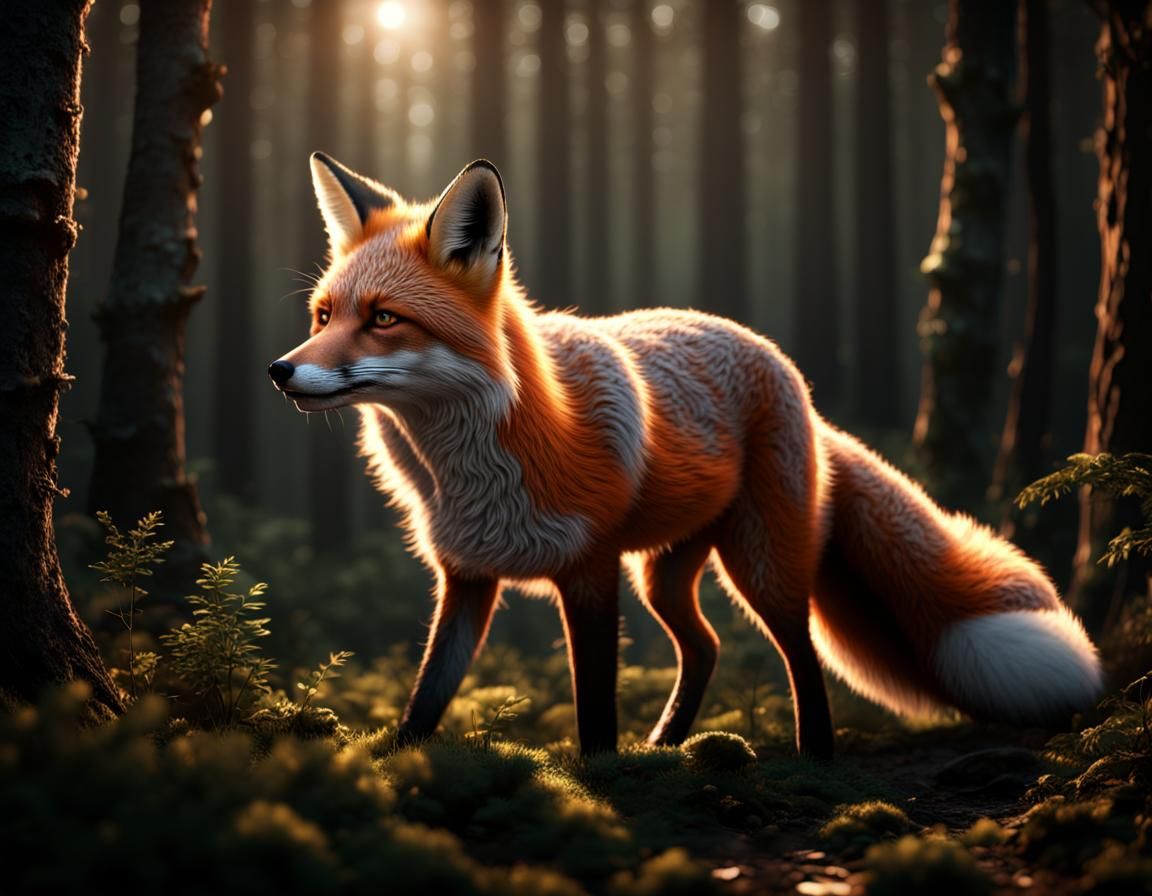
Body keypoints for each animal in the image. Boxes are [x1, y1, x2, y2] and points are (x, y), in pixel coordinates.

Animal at [268, 153, 1103, 759]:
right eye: (323, 316)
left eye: (384, 319)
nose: (279, 371)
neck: (472, 470)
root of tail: (781, 364)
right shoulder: (467, 576)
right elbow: (428, 694)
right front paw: (390, 764)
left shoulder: (589, 570)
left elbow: (594, 701)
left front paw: (599, 773)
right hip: (664, 574)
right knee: (704, 647)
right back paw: (666, 744)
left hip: (759, 564)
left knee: (801, 655)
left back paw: (813, 754)